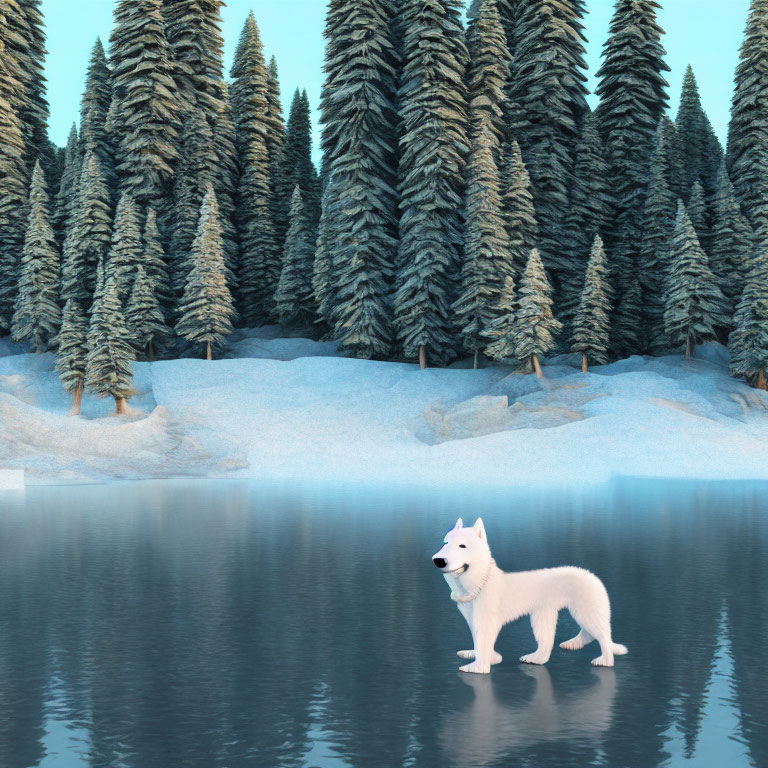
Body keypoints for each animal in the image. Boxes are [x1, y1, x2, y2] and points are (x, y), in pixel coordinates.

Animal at [428, 516, 628, 672]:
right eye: (445, 543)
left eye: (462, 546)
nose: (438, 560)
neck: (480, 581)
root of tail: (592, 576)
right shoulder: (473, 618)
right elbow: (478, 641)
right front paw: (480, 655)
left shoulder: (487, 620)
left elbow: (483, 642)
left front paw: (478, 667)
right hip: (544, 613)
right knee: (555, 640)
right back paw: (545, 654)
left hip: (585, 609)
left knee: (602, 635)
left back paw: (604, 660)